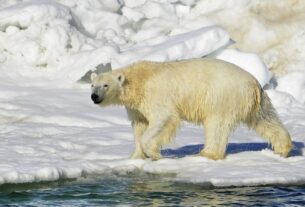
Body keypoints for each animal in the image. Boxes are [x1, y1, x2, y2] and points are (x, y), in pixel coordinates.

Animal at [89, 58, 290, 160]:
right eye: (92, 85)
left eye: (105, 85)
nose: (94, 97)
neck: (138, 80)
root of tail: (253, 83)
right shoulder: (136, 107)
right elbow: (139, 125)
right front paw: (136, 156)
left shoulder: (155, 96)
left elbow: (163, 119)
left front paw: (153, 153)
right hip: (255, 101)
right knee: (265, 119)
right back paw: (283, 148)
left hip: (222, 96)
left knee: (216, 125)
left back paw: (206, 153)